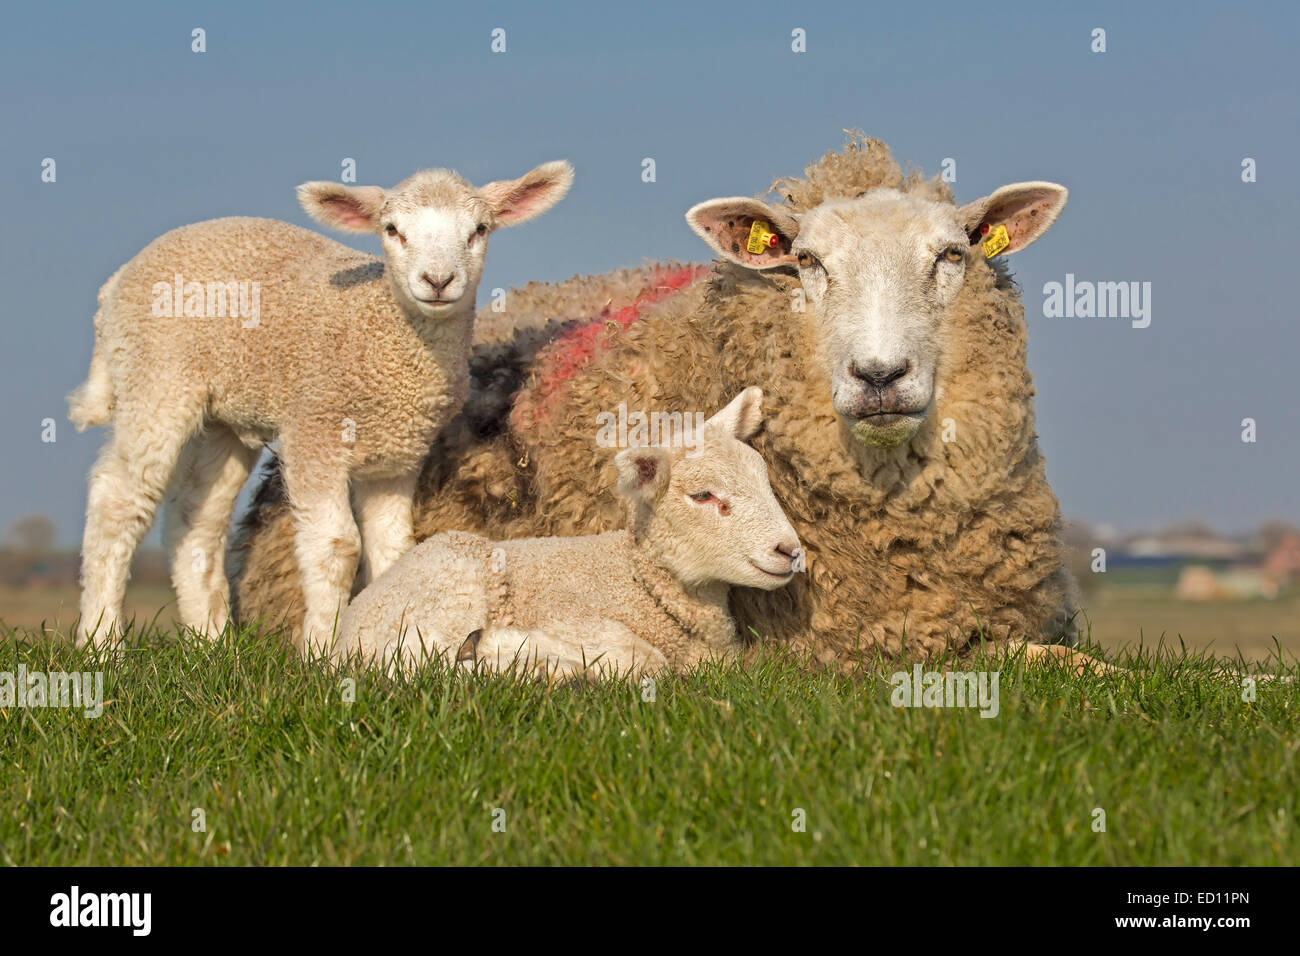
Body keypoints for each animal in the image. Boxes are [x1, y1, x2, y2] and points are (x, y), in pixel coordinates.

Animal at [68, 160, 572, 655]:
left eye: (479, 230)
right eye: (392, 229)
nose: (438, 281)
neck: (385, 337)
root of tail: (116, 282)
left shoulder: (397, 455)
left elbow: (393, 548)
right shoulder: (315, 429)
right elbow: (337, 546)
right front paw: (320, 653)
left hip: (224, 416)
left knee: (194, 518)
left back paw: (212, 642)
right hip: (155, 379)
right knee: (118, 501)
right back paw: (101, 642)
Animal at [332, 390, 800, 681]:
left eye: (764, 479)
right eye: (703, 496)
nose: (791, 551)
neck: (642, 582)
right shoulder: (573, 615)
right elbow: (646, 659)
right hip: (451, 588)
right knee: (419, 664)